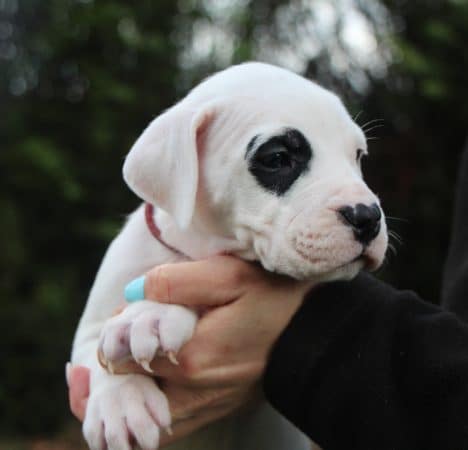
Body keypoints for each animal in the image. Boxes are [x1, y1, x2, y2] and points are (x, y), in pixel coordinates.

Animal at [71, 62, 388, 450]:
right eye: (278, 158)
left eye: (358, 156)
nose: (368, 217)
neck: (198, 248)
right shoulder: (89, 330)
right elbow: (94, 354)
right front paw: (122, 399)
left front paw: (148, 313)